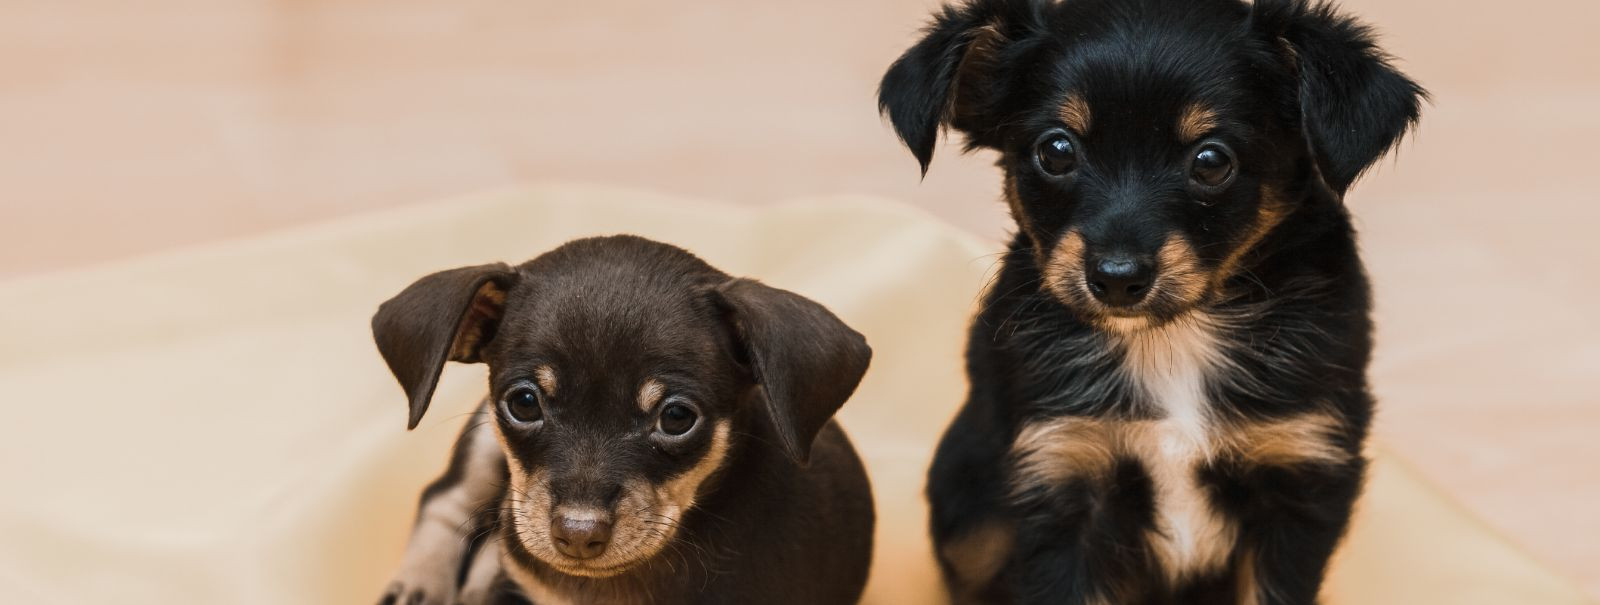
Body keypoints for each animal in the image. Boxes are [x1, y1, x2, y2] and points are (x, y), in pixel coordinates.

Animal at [889, 0, 1427, 601]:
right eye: (1056, 150)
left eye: (1212, 161)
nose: (1117, 278)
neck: (1172, 337)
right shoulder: (1061, 473)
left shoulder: (1299, 473)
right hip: (970, 513)